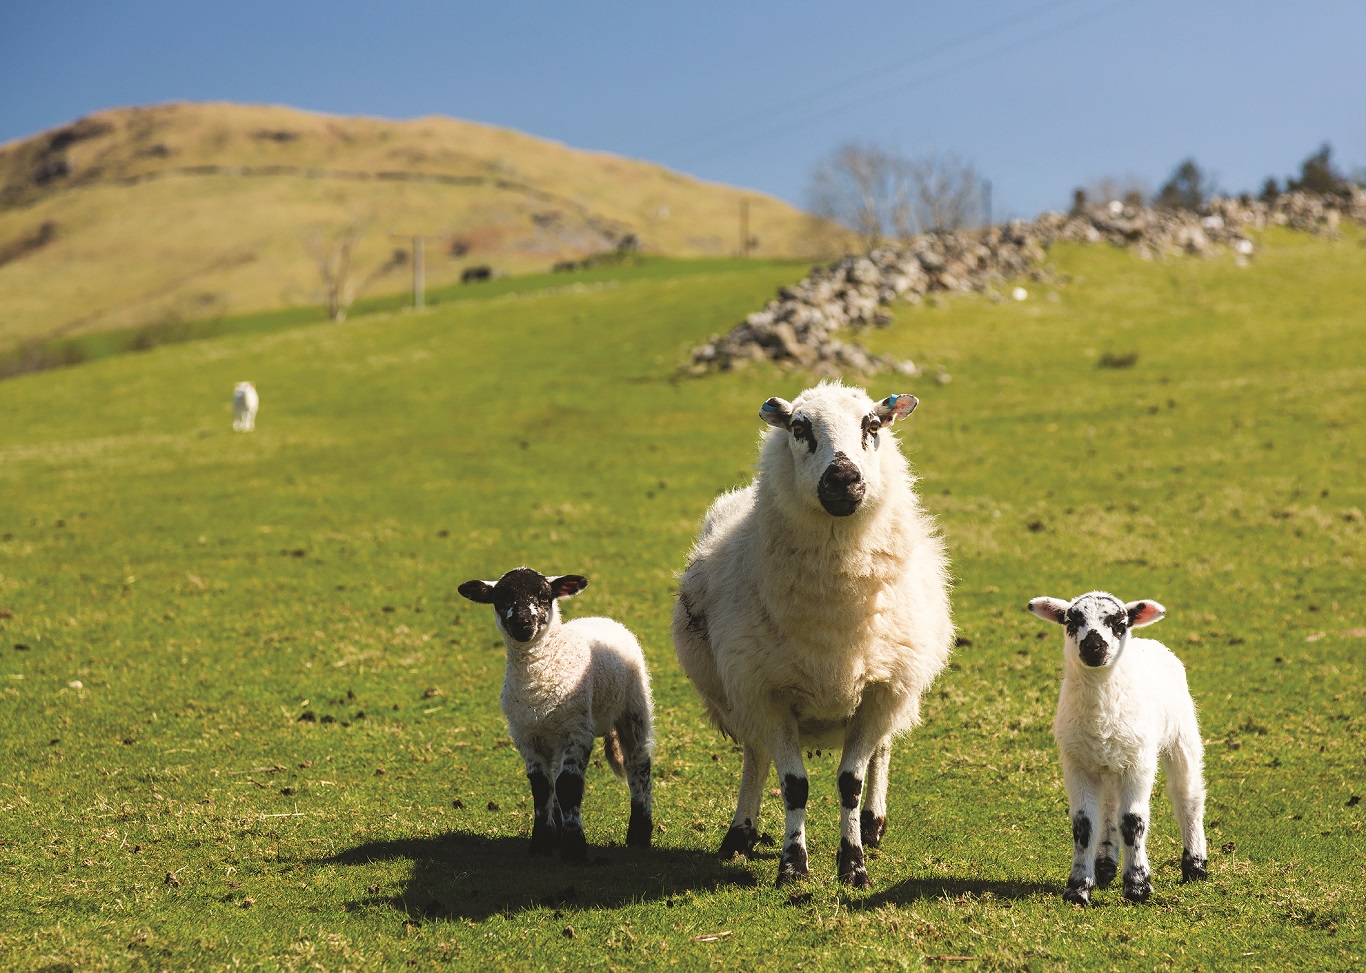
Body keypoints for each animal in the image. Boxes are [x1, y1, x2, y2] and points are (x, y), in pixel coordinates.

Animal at [459, 567, 654, 861]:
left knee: (638, 766)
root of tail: (600, 618)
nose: (523, 623)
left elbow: (568, 786)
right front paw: (541, 843)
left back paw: (639, 834)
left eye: (544, 596)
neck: (538, 678)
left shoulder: (577, 731)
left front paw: (575, 849)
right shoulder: (526, 736)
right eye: (500, 598)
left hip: (633, 709)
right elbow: (542, 788)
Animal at [673, 381, 954, 887]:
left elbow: (851, 782)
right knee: (755, 755)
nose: (842, 478)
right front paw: (792, 865)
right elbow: (793, 785)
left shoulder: (880, 690)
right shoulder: (766, 692)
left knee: (882, 749)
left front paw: (854, 863)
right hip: (740, 693)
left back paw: (873, 822)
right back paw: (740, 834)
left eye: (872, 425)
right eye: (799, 428)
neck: (833, 614)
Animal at [1028, 591, 1208, 904]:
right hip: (1109, 761)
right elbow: (1084, 824)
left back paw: (1195, 866)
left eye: (1119, 624)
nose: (1093, 647)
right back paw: (1105, 864)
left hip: (1182, 735)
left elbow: (1133, 821)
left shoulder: (1139, 763)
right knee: (1109, 807)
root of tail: (1149, 642)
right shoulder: (1076, 764)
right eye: (1071, 622)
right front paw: (1078, 888)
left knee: (1188, 797)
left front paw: (1137, 886)